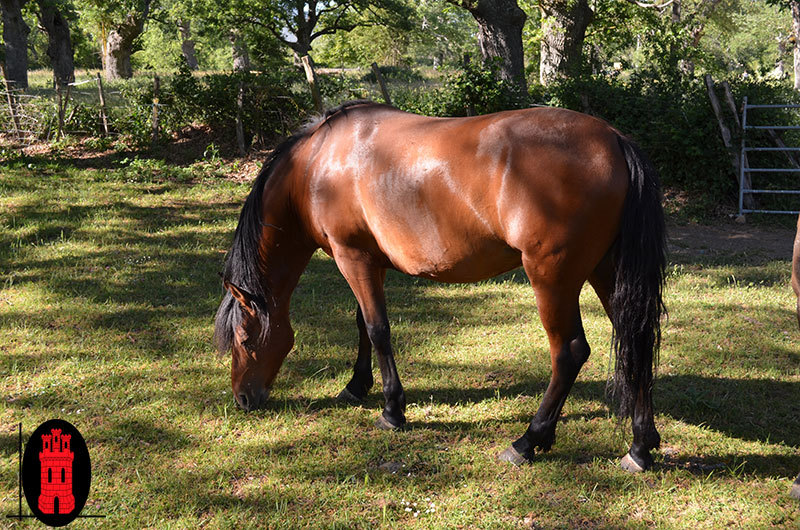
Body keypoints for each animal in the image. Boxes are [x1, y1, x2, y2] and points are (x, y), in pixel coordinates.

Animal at [214, 100, 666, 472]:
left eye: (244, 338)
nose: (242, 399)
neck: (316, 165)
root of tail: (614, 141)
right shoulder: (368, 262)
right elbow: (363, 326)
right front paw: (356, 387)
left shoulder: (352, 257)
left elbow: (378, 331)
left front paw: (392, 411)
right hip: (605, 273)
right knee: (636, 340)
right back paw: (640, 448)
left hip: (552, 278)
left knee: (570, 352)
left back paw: (527, 441)